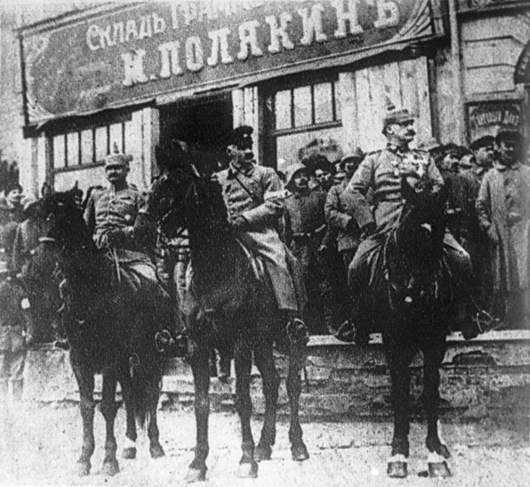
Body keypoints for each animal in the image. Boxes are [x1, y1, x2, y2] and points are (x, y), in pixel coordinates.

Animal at [36, 193, 165, 478]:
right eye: (40, 216)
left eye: (65, 218)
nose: (41, 261)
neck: (90, 289)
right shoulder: (78, 359)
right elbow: (86, 407)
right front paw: (84, 458)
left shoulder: (110, 359)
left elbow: (106, 405)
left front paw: (108, 459)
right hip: (127, 359)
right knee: (130, 392)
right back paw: (130, 444)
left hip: (150, 351)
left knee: (151, 392)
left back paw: (154, 445)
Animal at [146, 164, 308, 480]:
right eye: (157, 180)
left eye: (176, 182)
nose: (144, 218)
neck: (215, 269)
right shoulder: (198, 345)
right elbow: (201, 403)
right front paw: (198, 462)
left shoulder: (240, 343)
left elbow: (242, 398)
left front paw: (245, 460)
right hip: (263, 342)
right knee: (271, 383)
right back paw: (265, 446)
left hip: (290, 338)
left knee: (292, 384)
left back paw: (296, 445)